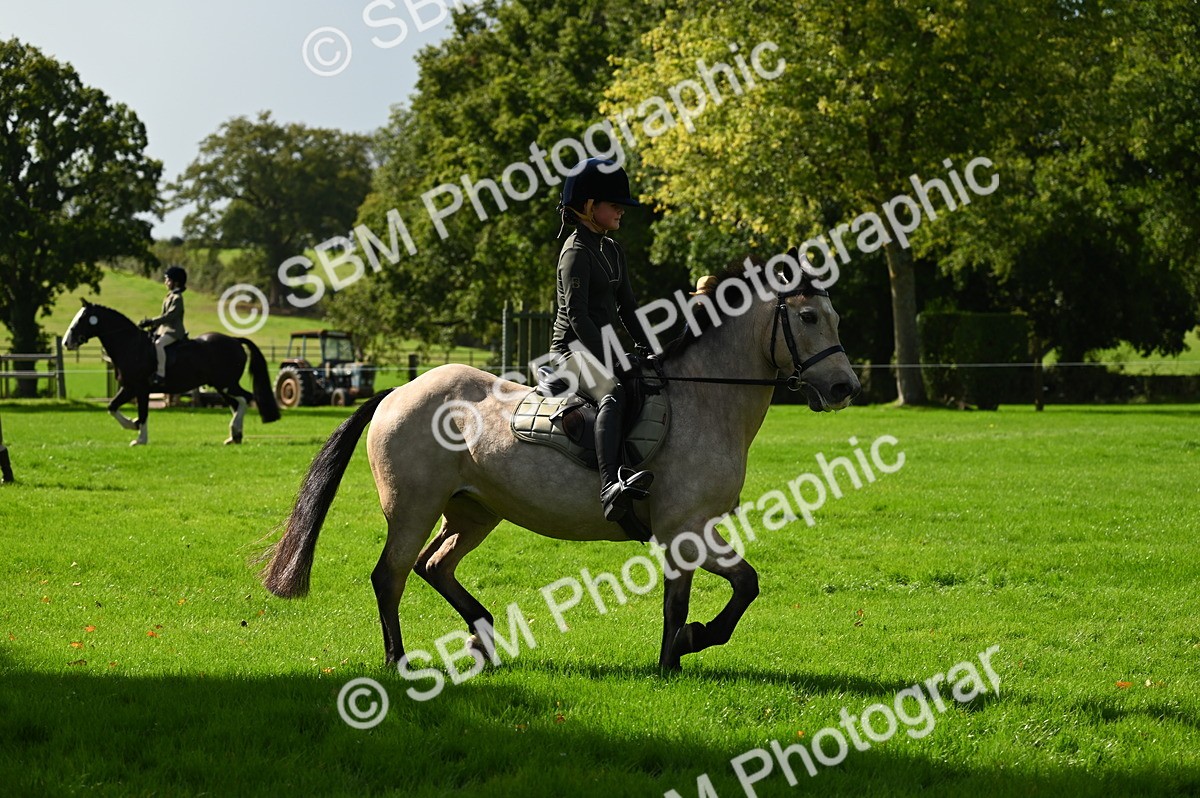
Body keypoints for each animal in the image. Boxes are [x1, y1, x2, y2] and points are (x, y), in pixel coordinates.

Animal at [62, 300, 281, 446]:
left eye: (82, 319)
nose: (66, 342)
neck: (131, 345)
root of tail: (235, 339)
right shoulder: (129, 387)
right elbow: (112, 407)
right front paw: (134, 426)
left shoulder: (139, 388)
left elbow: (140, 412)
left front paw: (139, 436)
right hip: (221, 386)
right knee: (236, 404)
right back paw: (233, 436)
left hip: (227, 383)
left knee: (245, 399)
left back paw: (236, 432)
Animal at [262, 265, 860, 672]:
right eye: (808, 316)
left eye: (834, 316)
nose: (844, 388)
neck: (706, 399)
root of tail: (398, 391)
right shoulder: (684, 529)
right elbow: (720, 592)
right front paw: (685, 647)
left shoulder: (692, 532)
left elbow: (716, 593)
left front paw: (674, 655)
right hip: (413, 509)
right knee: (391, 576)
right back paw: (399, 660)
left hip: (473, 512)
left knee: (435, 566)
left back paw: (484, 638)